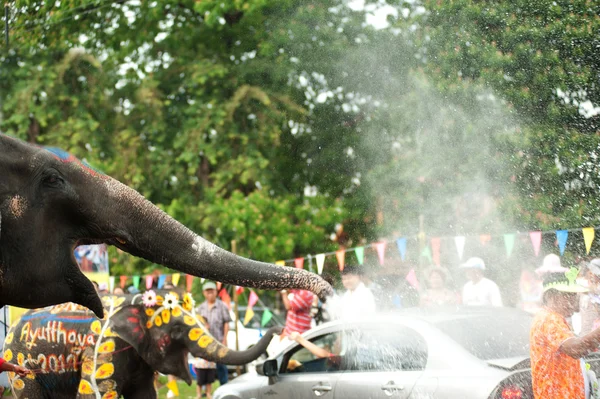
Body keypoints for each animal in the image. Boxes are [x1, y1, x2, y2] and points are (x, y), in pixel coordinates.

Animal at [4, 290, 282, 399]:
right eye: (177, 330)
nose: (279, 329)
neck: (133, 299)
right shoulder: (102, 349)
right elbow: (94, 393)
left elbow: (144, 394)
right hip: (19, 367)